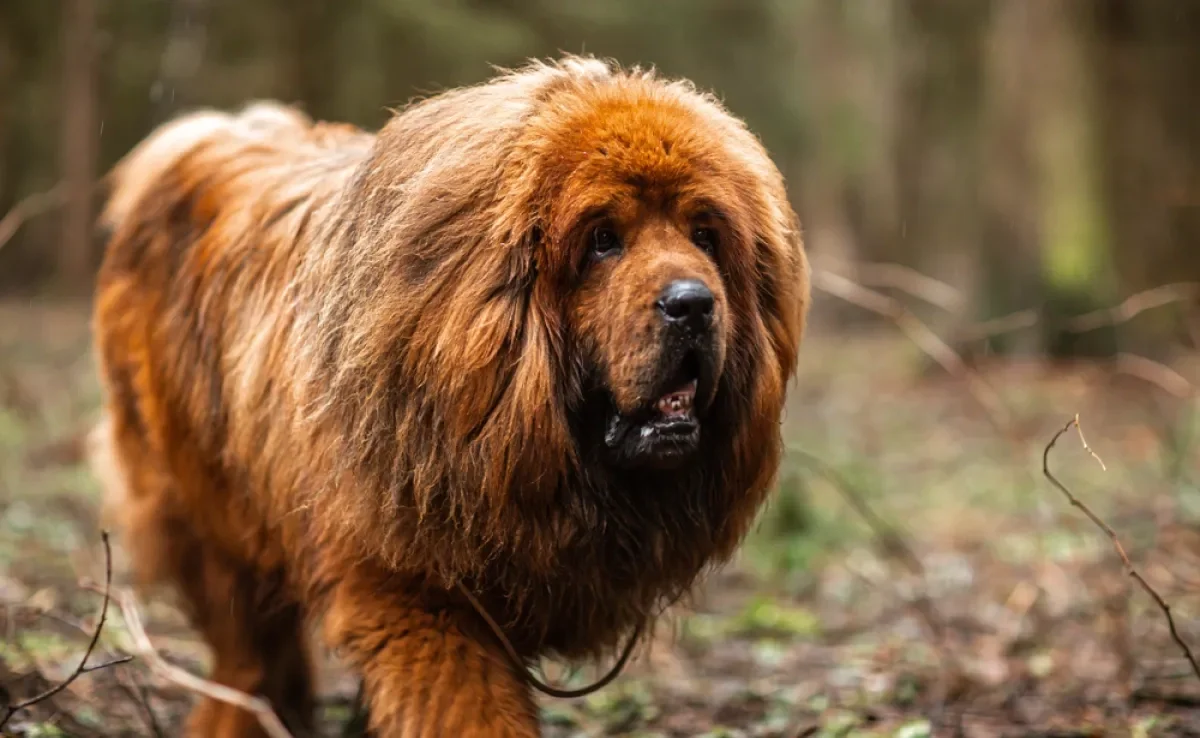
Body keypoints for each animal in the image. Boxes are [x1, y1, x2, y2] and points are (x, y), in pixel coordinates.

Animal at [91, 57, 806, 738]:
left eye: (705, 236)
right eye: (603, 240)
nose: (694, 304)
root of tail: (201, 138)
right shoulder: (417, 598)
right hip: (209, 512)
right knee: (248, 649)